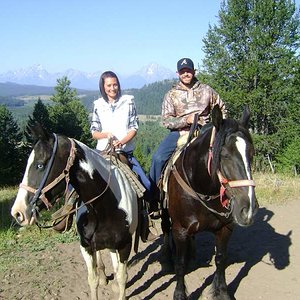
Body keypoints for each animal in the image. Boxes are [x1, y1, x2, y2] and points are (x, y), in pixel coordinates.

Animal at [162, 105, 258, 300]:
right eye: (225, 155)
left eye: (251, 154)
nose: (248, 210)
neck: (202, 188)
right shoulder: (180, 230)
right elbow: (180, 264)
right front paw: (179, 294)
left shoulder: (225, 228)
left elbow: (220, 258)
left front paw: (222, 292)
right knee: (166, 231)